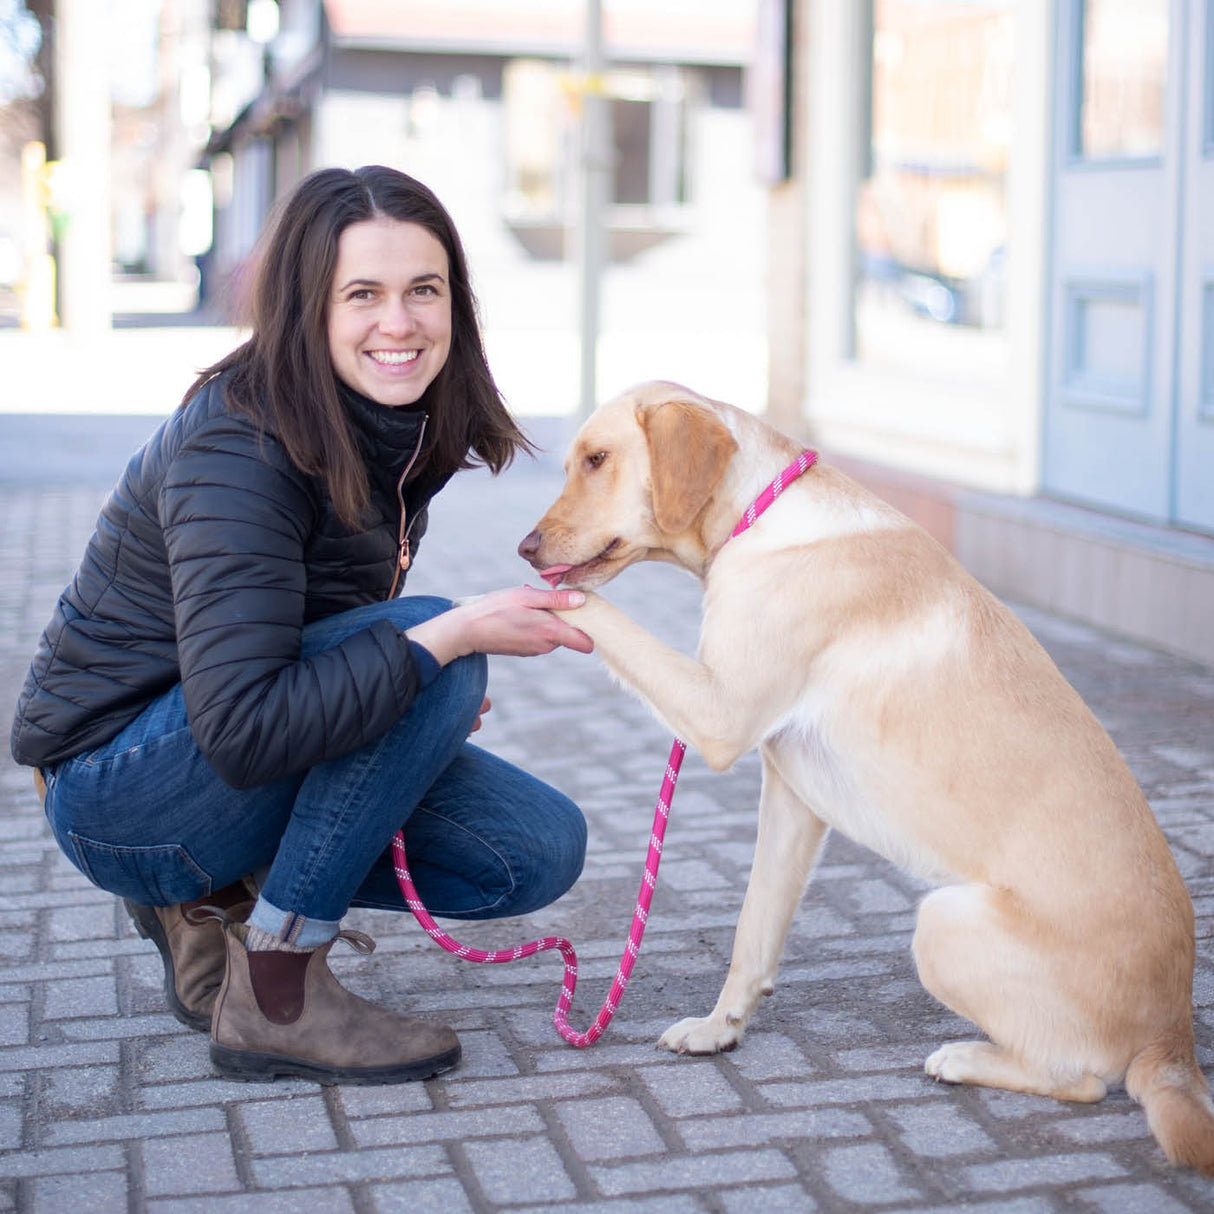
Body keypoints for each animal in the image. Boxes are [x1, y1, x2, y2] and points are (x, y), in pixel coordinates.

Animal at [519, 376, 1214, 1165]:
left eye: (596, 459)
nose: (523, 547)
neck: (761, 520)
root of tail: (1175, 1037)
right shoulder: (791, 797)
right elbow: (752, 931)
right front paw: (722, 1027)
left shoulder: (719, 715)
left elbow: (590, 605)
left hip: (942, 922)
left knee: (1084, 1079)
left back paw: (965, 1057)